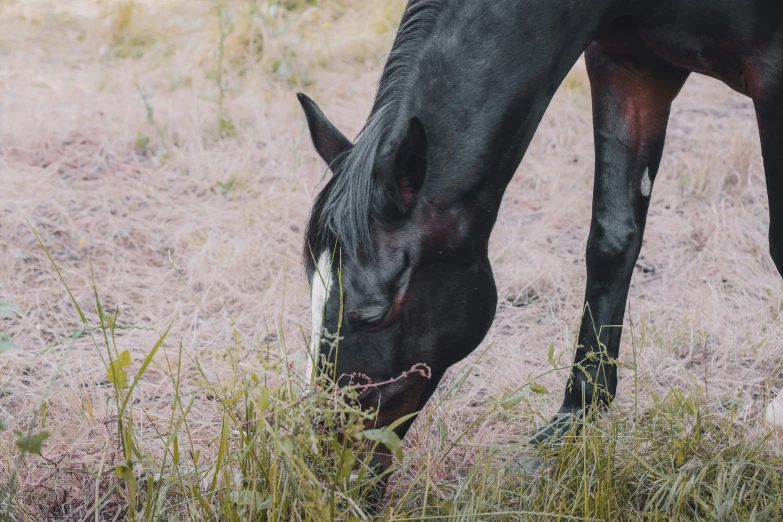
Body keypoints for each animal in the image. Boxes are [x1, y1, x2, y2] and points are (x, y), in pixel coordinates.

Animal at [298, 0, 783, 468]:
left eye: (373, 314)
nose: (331, 460)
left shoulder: (772, 76)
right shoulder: (628, 65)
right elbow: (611, 239)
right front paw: (572, 421)